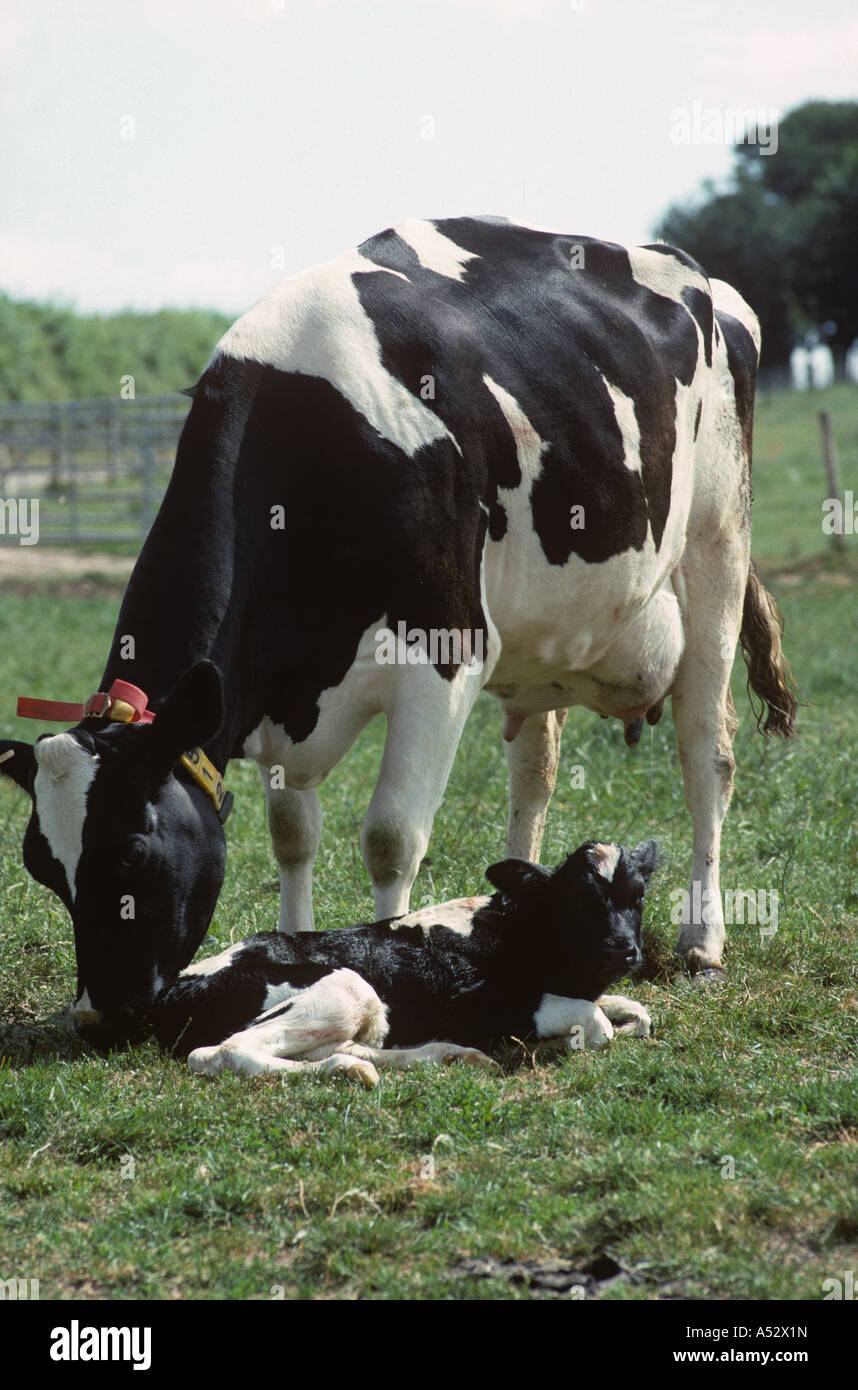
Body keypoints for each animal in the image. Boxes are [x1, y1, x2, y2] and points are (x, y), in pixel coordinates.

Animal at [0, 216, 795, 1045]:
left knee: (706, 751)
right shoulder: (282, 705)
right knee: (535, 771)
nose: (96, 1015)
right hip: (543, 635)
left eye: (131, 852)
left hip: (717, 542)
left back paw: (704, 940)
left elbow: (390, 838)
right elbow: (293, 833)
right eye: (41, 866)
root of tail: (698, 275)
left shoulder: (444, 658)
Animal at [152, 834, 656, 1084]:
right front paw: (545, 1045)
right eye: (577, 901)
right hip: (347, 987)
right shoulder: (476, 1002)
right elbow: (598, 1025)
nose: (621, 948)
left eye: (637, 896)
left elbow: (637, 1014)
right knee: (223, 1052)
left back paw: (447, 1055)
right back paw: (350, 1072)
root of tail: (173, 989)